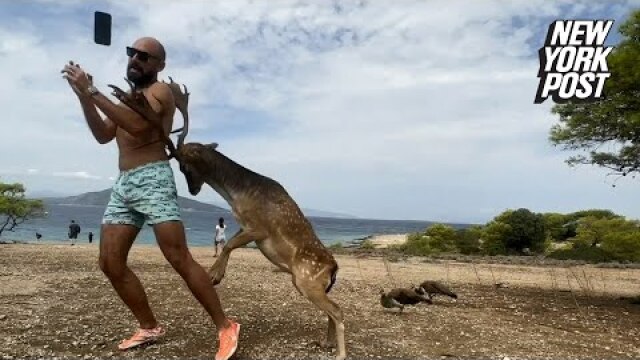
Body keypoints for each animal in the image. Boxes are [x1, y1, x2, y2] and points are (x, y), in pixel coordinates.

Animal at [110, 77, 350, 358]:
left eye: (184, 166)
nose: (192, 190)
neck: (237, 196)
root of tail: (334, 268)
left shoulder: (259, 227)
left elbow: (230, 245)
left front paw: (214, 275)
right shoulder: (243, 225)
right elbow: (231, 242)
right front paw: (215, 273)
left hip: (307, 278)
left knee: (337, 310)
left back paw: (340, 353)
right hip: (305, 282)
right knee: (331, 310)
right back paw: (326, 343)